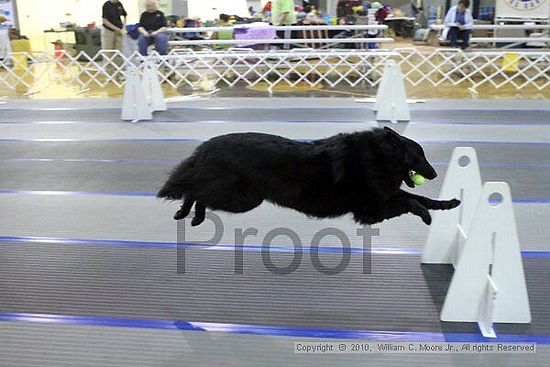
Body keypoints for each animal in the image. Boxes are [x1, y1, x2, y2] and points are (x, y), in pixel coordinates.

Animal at [156, 129, 462, 227]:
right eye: (418, 156)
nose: (435, 173)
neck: (377, 157)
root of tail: (208, 145)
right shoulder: (370, 210)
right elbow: (411, 202)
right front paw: (426, 216)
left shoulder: (385, 196)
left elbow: (420, 196)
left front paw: (448, 203)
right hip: (245, 198)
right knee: (198, 189)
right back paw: (190, 213)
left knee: (198, 188)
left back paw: (192, 215)